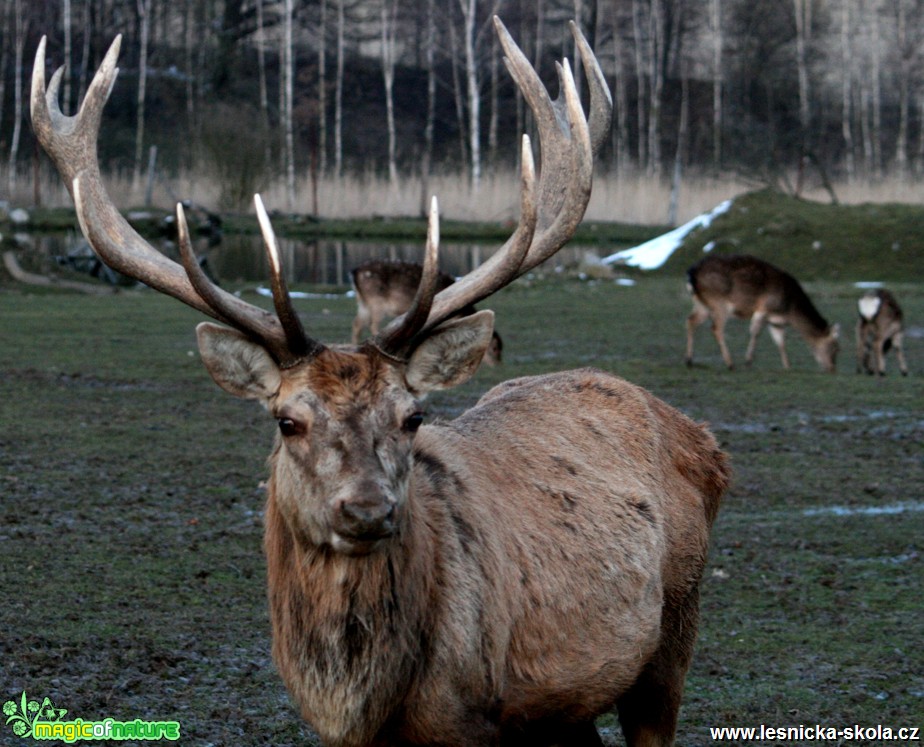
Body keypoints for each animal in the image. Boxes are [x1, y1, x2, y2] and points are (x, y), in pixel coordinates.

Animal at [352, 262, 498, 366]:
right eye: (495, 349)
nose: (497, 364)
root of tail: (354, 272)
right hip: (376, 301)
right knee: (372, 324)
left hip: (363, 303)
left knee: (358, 324)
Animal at [684, 256, 840, 372]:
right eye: (834, 347)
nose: (832, 368)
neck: (789, 310)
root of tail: (691, 274)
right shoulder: (763, 309)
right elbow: (755, 332)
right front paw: (748, 361)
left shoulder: (776, 322)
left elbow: (780, 341)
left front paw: (787, 366)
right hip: (719, 302)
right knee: (716, 328)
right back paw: (730, 364)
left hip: (701, 304)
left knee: (691, 321)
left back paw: (689, 360)